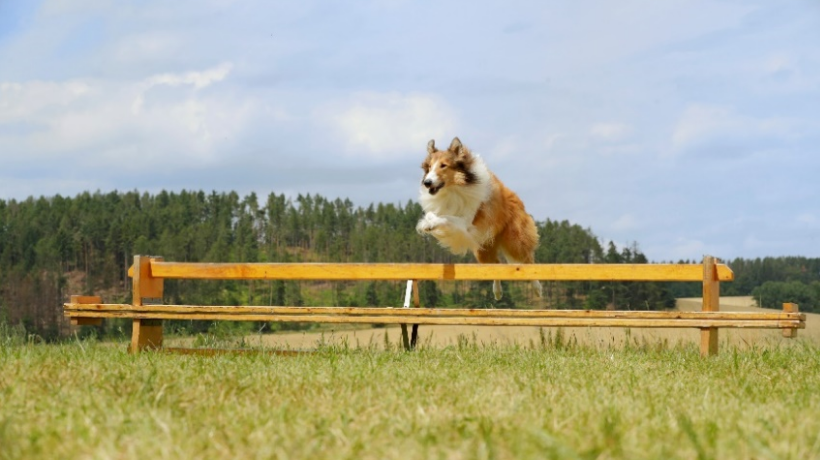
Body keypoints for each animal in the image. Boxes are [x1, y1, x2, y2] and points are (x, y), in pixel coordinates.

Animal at [414, 137, 540, 302]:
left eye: (443, 165)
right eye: (428, 167)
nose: (427, 182)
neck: (453, 189)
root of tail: (518, 199)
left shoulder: (466, 223)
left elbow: (446, 218)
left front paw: (431, 224)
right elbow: (432, 215)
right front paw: (427, 224)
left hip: (515, 242)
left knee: (528, 260)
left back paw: (537, 289)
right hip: (483, 248)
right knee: (496, 264)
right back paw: (497, 292)